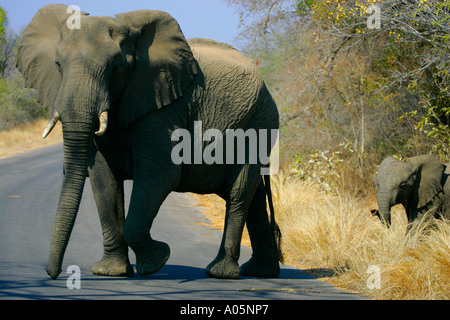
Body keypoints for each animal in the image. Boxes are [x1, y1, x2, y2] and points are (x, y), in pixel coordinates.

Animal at [18, 4, 284, 280]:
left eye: (115, 67)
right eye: (58, 64)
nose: (53, 274)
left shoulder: (162, 106)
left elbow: (159, 174)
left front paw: (158, 259)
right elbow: (103, 177)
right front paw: (111, 272)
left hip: (258, 122)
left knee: (238, 190)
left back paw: (220, 272)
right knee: (254, 193)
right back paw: (260, 271)